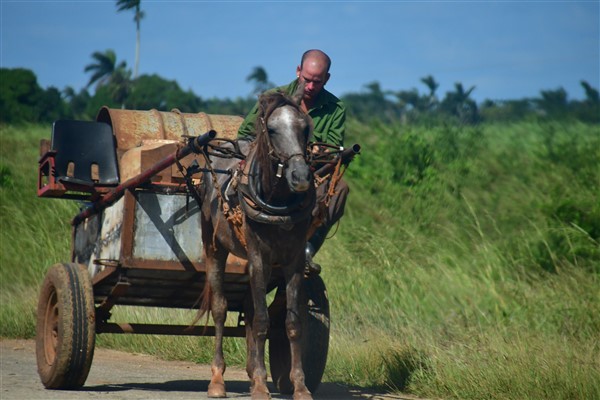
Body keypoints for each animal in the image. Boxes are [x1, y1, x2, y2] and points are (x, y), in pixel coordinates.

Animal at [198, 83, 318, 398]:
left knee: (250, 310)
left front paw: (299, 386)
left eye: (305, 127)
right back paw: (218, 379)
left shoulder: (293, 261)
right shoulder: (258, 258)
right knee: (220, 308)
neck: (277, 199)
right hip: (214, 247)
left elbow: (292, 322)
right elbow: (263, 320)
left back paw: (252, 373)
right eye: (272, 129)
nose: (300, 176)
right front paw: (262, 387)